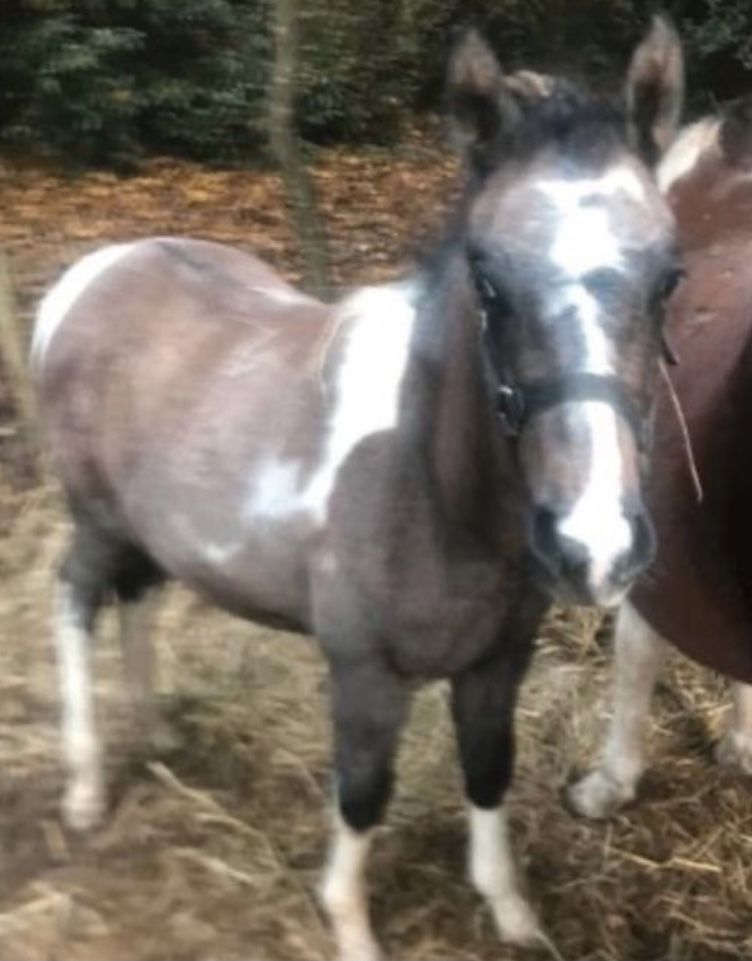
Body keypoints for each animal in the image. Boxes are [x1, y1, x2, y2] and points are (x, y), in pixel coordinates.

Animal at [32, 20, 684, 960]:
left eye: (669, 276)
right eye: (487, 277)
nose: (595, 547)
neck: (432, 487)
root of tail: (91, 275)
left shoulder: (499, 661)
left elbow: (489, 769)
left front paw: (511, 911)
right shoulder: (366, 671)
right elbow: (364, 790)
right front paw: (348, 921)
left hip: (146, 533)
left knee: (139, 597)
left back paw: (152, 729)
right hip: (95, 520)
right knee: (76, 600)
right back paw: (85, 787)